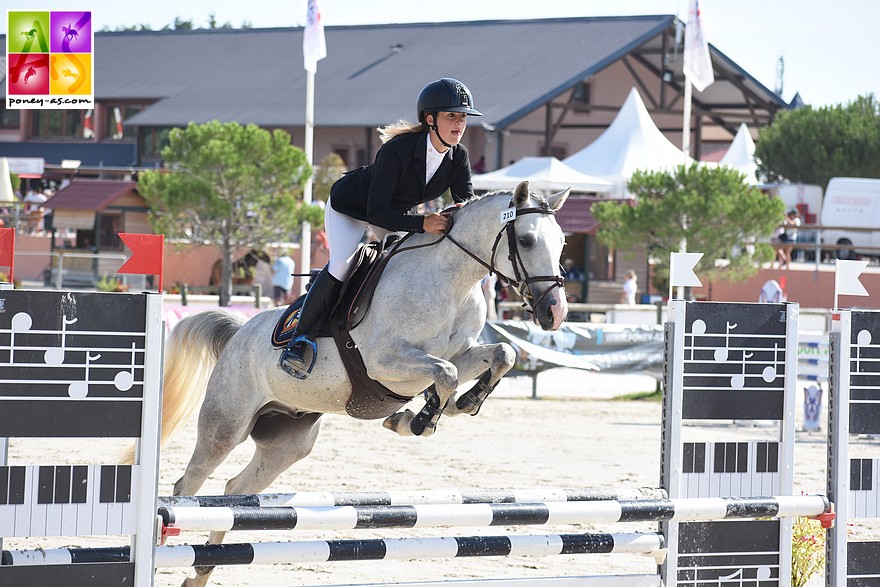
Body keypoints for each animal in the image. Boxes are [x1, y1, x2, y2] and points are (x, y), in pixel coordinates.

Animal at [159, 181, 572, 584]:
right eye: (527, 241)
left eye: (563, 242)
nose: (554, 313)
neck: (451, 281)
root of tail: (237, 333)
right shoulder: (383, 362)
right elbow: (445, 374)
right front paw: (422, 419)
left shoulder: (461, 354)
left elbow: (501, 354)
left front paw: (459, 404)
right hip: (225, 427)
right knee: (187, 488)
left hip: (287, 445)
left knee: (235, 493)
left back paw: (202, 572)